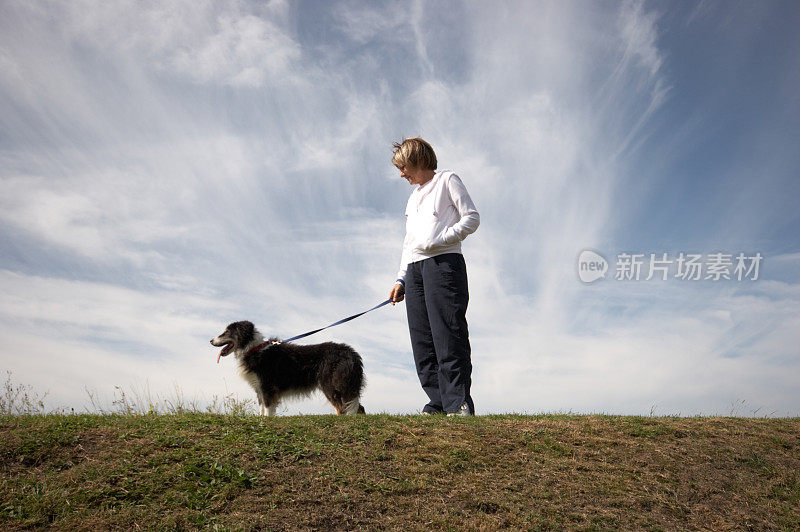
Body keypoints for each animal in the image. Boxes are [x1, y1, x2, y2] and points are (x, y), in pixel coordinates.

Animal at [209, 320, 366, 416]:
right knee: (358, 407)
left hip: (330, 384)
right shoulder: (259, 388)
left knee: (342, 409)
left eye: (226, 332)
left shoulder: (267, 387)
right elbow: (261, 409)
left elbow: (267, 409)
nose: (210, 340)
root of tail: (351, 353)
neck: (254, 349)